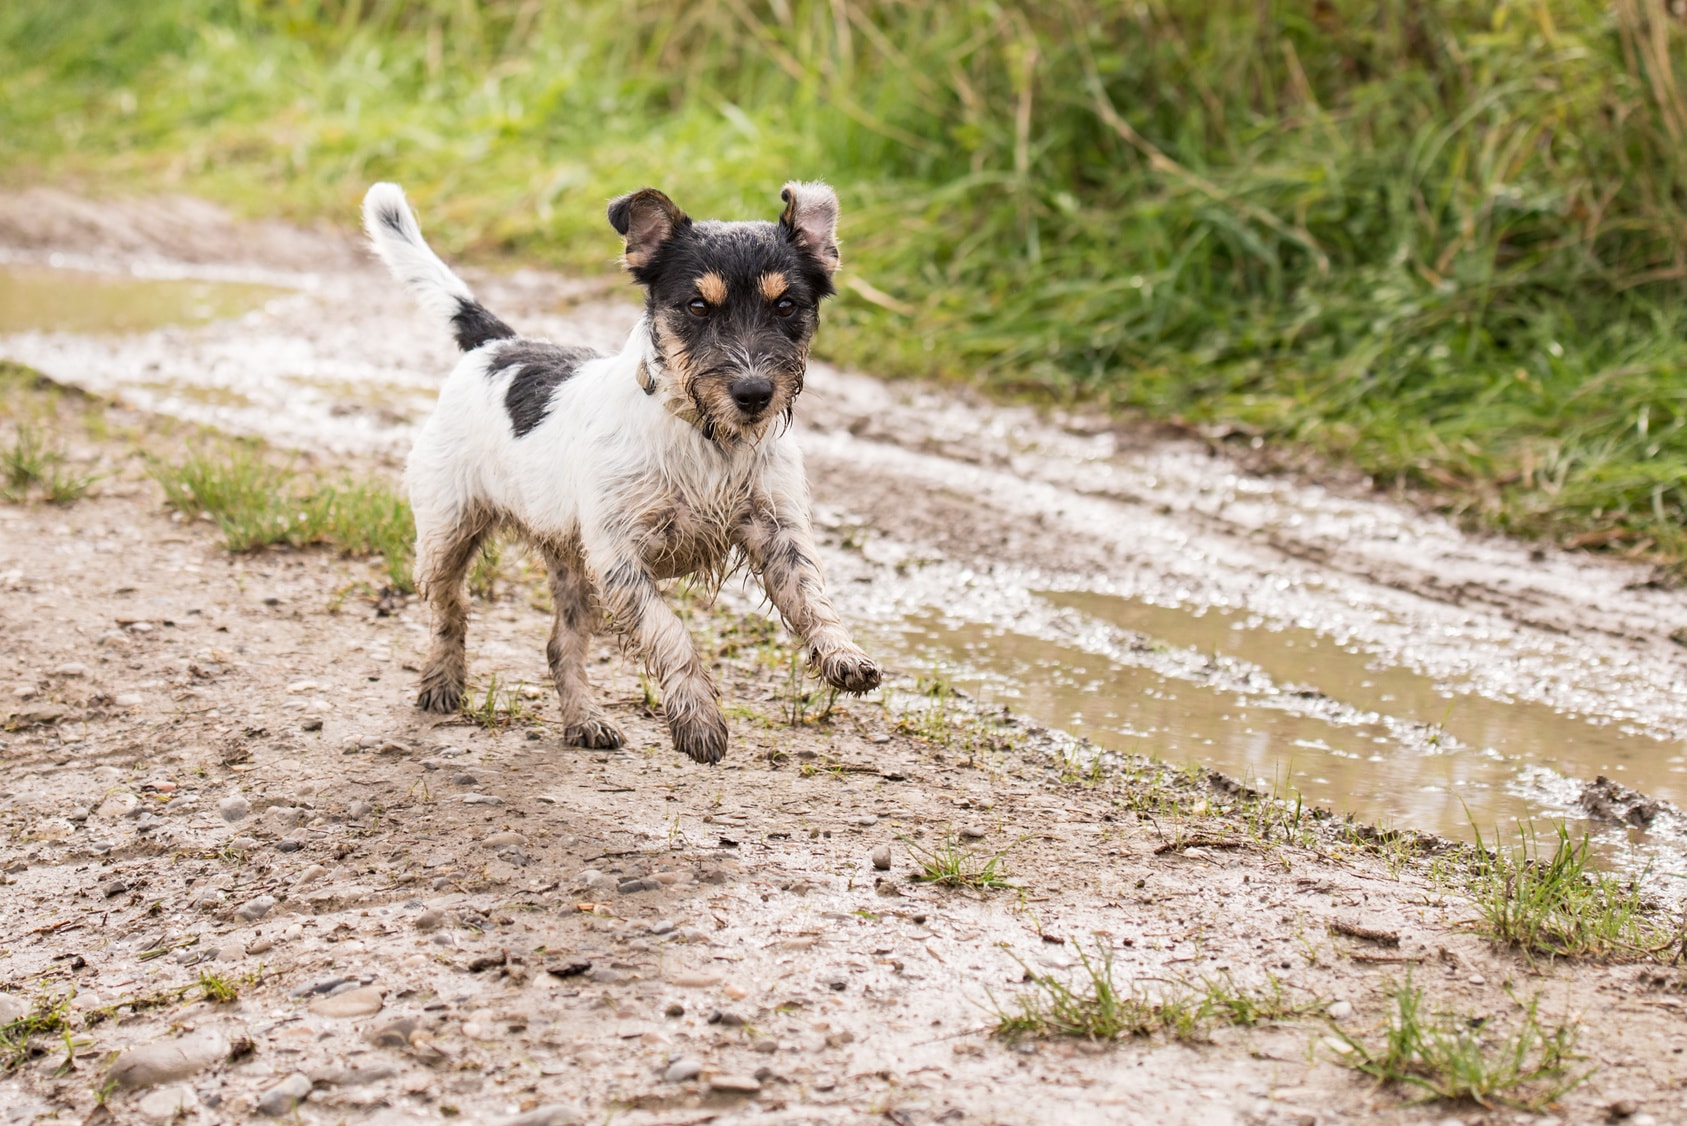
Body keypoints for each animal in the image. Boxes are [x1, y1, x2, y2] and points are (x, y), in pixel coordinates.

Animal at [357, 183, 883, 766]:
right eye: (697, 306)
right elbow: (669, 631)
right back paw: (443, 682)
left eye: (787, 305)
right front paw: (698, 718)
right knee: (451, 611)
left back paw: (585, 719)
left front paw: (842, 654)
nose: (753, 394)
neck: (705, 436)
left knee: (560, 646)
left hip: (572, 564)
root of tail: (496, 345)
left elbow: (811, 597)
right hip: (447, 534)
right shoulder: (620, 559)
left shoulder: (777, 531)